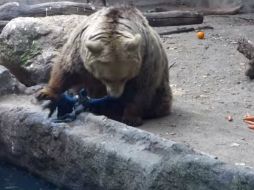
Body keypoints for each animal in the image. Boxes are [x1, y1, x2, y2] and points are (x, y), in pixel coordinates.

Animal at [36, 5, 172, 126]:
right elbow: (65, 70)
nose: (115, 95)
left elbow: (141, 88)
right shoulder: (79, 51)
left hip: (161, 90)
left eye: (125, 78)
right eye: (105, 78)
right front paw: (45, 93)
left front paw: (131, 118)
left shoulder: (146, 59)